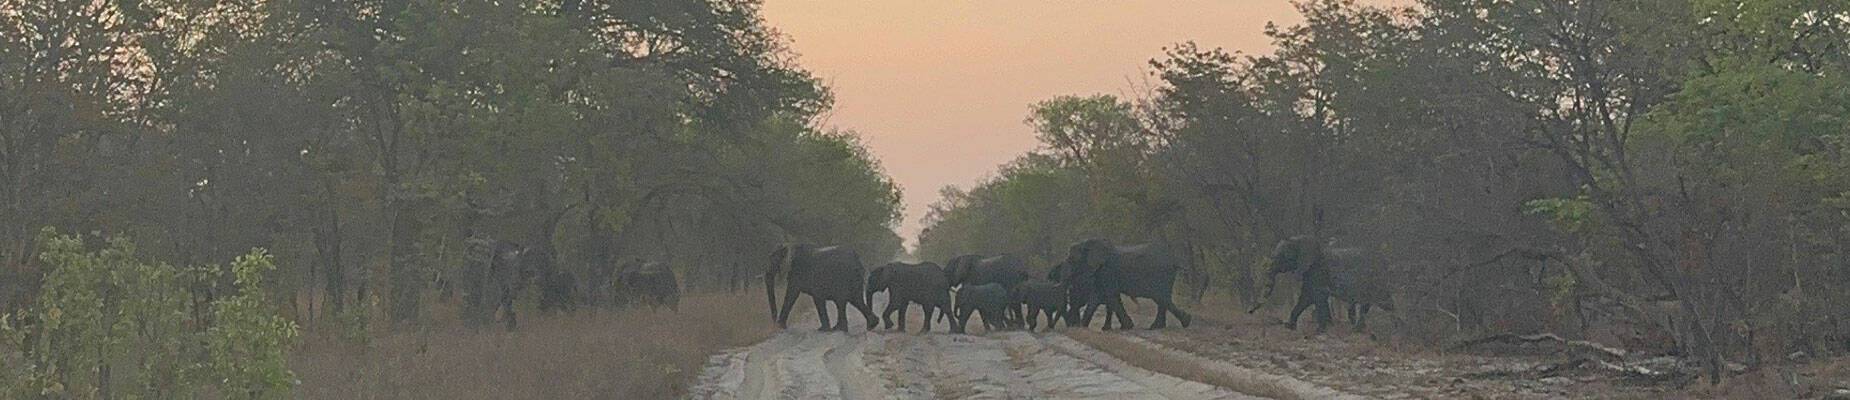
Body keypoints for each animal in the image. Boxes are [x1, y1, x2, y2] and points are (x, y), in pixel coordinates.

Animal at [1058, 239, 1193, 330]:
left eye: (1072, 259)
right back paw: (1159, 326)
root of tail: (1173, 260)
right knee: (1162, 299)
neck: (1087, 243)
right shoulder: (1102, 273)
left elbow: (1109, 295)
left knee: (1161, 297)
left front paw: (1127, 326)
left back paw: (1184, 321)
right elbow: (1101, 296)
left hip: (1162, 275)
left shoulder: (1108, 270)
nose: (1071, 325)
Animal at [1249, 235, 1396, 333]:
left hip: (1377, 281)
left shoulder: (1318, 271)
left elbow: (1317, 296)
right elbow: (1306, 297)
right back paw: (1359, 329)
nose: (1249, 311)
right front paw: (1289, 326)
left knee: (1384, 302)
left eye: (1283, 256)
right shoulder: (1309, 273)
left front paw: (1319, 330)